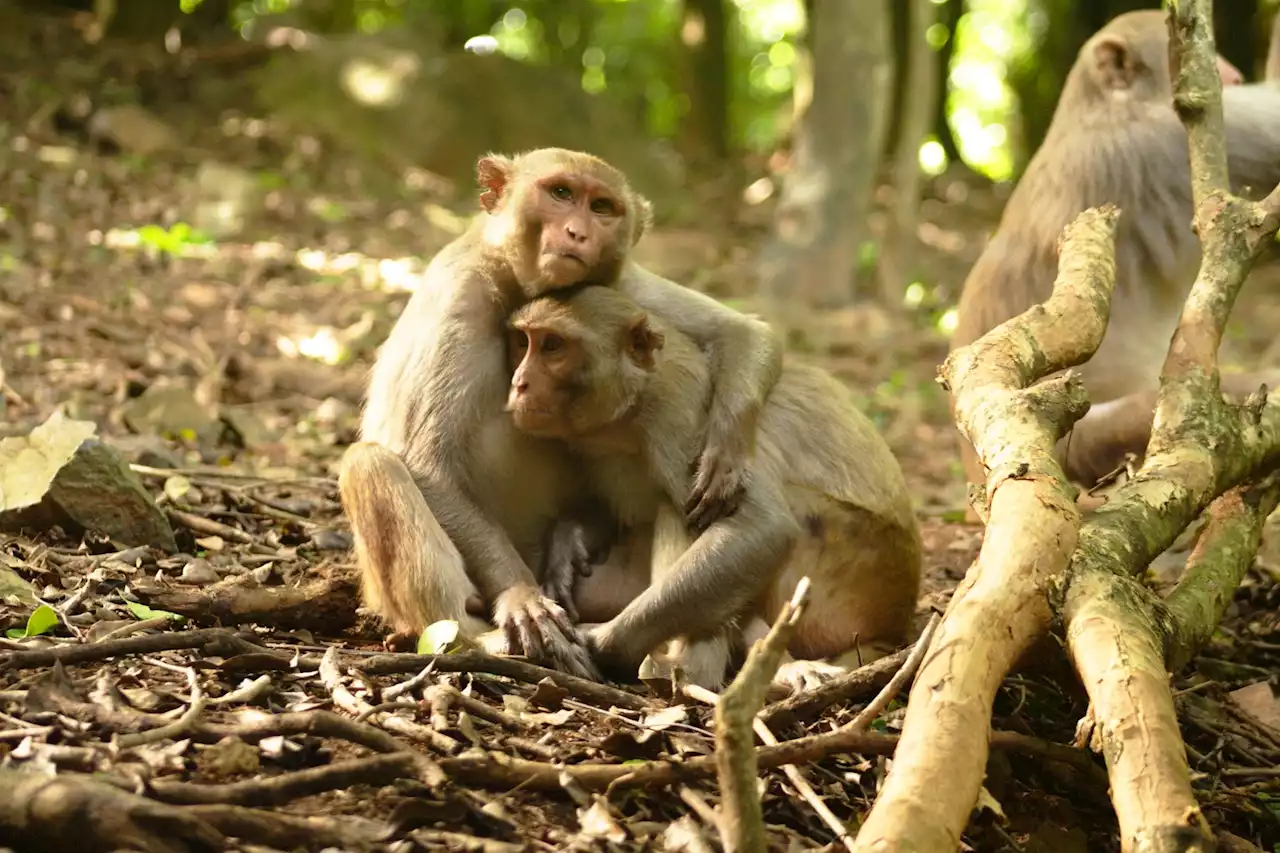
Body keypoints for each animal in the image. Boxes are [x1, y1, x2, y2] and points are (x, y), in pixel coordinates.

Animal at [335, 149, 783, 676]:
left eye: (603, 207)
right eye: (561, 194)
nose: (577, 232)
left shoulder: (621, 283)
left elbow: (745, 332)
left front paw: (724, 454)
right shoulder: (459, 292)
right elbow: (426, 462)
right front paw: (521, 596)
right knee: (371, 464)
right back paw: (475, 639)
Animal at [501, 281, 921, 686]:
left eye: (553, 346)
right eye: (523, 342)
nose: (519, 383)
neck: (628, 412)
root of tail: (897, 622)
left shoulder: (681, 417)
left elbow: (763, 526)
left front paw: (600, 643)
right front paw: (569, 543)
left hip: (855, 575)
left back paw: (693, 669)